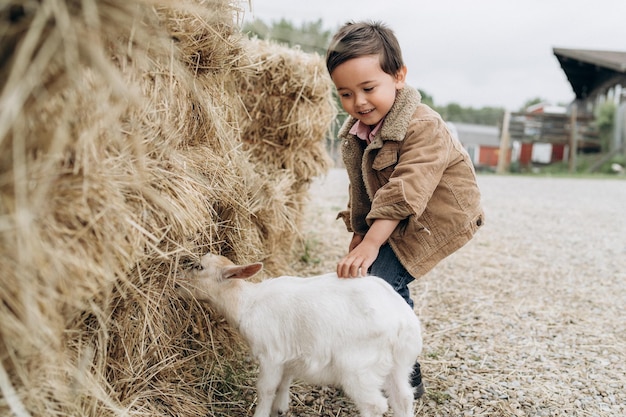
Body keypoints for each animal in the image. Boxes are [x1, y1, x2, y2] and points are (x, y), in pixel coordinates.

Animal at [178, 252, 422, 414]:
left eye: (199, 267)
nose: (176, 283)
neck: (248, 304)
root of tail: (402, 322)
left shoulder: (271, 354)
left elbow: (265, 389)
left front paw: (263, 412)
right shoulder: (289, 353)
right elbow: (284, 382)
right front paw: (280, 409)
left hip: (358, 367)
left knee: (375, 404)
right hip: (400, 364)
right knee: (403, 397)